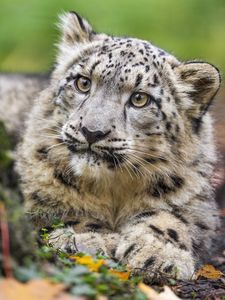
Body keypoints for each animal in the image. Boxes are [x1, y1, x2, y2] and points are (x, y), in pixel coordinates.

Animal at [2, 11, 221, 278]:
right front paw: (90, 238)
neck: (113, 190)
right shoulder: (32, 193)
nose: (92, 132)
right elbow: (65, 210)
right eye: (83, 83)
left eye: (139, 98)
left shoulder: (196, 204)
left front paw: (158, 255)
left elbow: (172, 219)